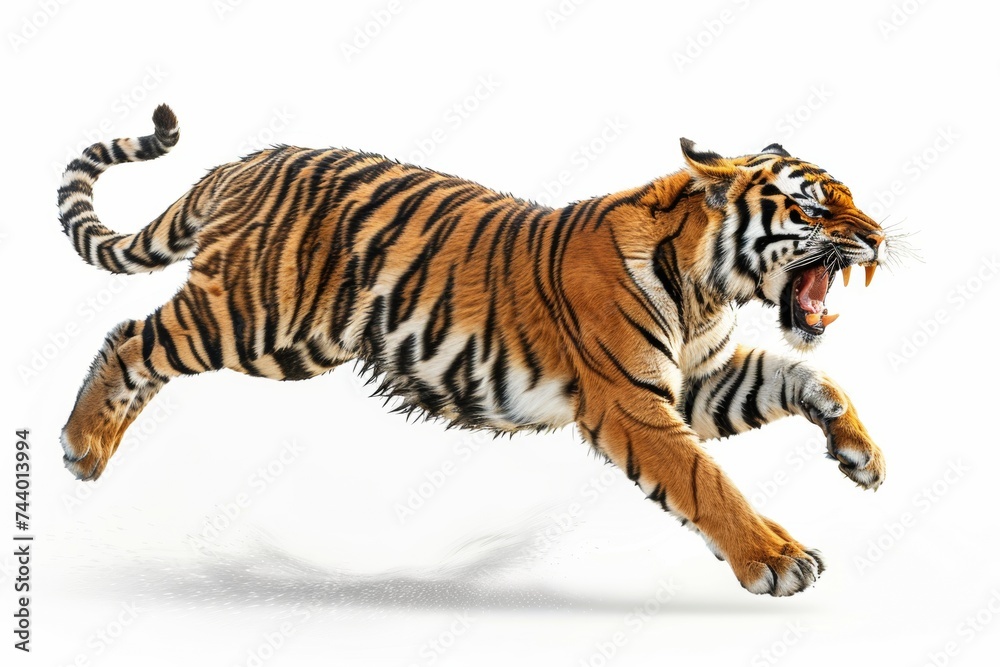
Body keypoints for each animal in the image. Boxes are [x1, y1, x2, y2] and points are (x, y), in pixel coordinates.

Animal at [58, 104, 890, 597]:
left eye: (850, 197)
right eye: (814, 207)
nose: (880, 236)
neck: (706, 286)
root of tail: (242, 162)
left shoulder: (698, 381)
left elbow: (807, 374)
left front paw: (860, 454)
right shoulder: (633, 401)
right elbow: (705, 482)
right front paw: (775, 559)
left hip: (292, 343)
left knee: (142, 352)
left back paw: (94, 451)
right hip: (250, 316)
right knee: (129, 338)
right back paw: (78, 443)